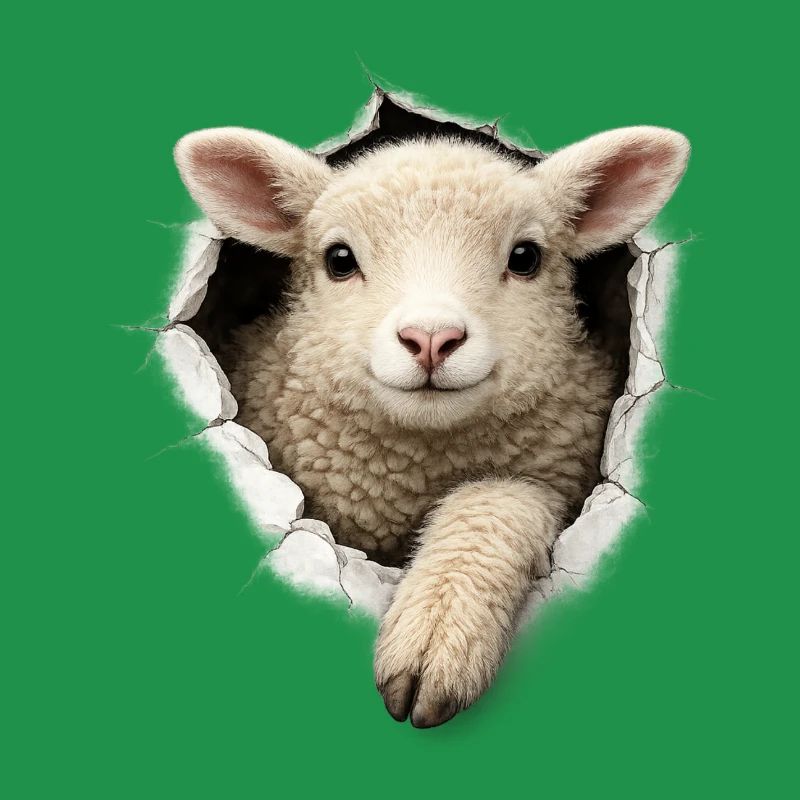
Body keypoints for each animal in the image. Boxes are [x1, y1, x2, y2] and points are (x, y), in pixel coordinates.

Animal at [174, 123, 689, 728]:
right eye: (339, 259)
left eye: (525, 257)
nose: (431, 338)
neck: (418, 462)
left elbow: (497, 503)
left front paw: (438, 637)